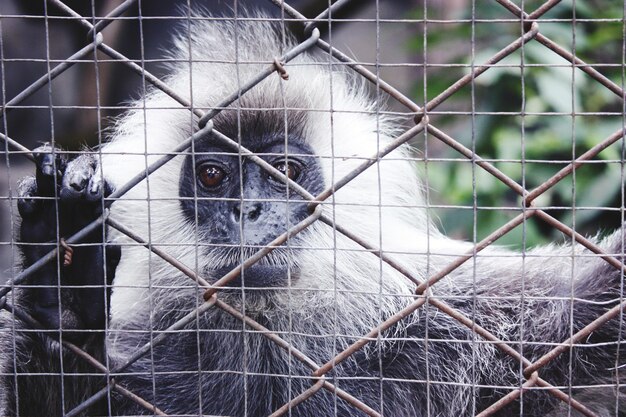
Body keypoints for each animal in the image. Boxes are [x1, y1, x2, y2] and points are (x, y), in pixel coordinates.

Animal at [1, 8, 624, 416]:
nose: (249, 210)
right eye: (213, 176)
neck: (268, 328)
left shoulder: (450, 316)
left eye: (285, 171)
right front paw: (66, 299)